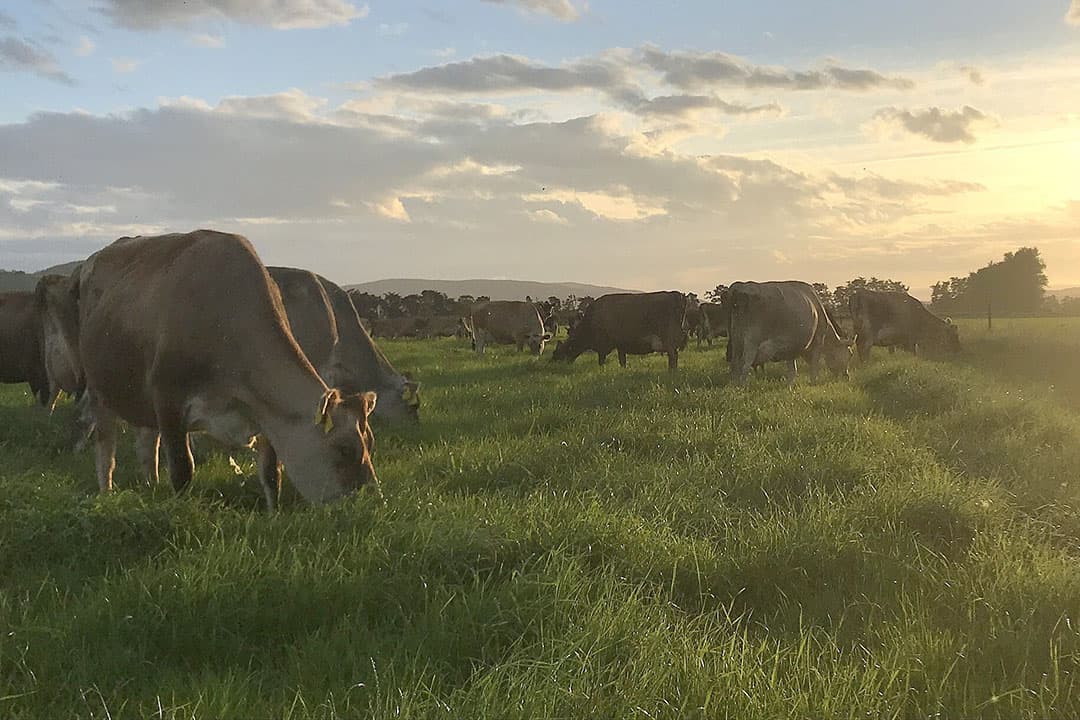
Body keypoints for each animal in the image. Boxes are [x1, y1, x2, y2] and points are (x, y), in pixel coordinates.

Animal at [39, 230, 381, 508]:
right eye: (344, 449)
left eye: (371, 442)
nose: (372, 498)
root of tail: (91, 261)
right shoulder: (168, 401)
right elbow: (182, 470)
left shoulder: (267, 416)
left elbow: (272, 474)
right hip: (101, 388)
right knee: (106, 446)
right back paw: (107, 491)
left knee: (146, 447)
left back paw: (151, 485)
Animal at [550, 291, 688, 370]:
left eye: (557, 354)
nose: (551, 364)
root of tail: (676, 294)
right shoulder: (621, 345)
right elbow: (622, 361)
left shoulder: (603, 345)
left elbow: (601, 361)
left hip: (668, 339)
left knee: (673, 356)